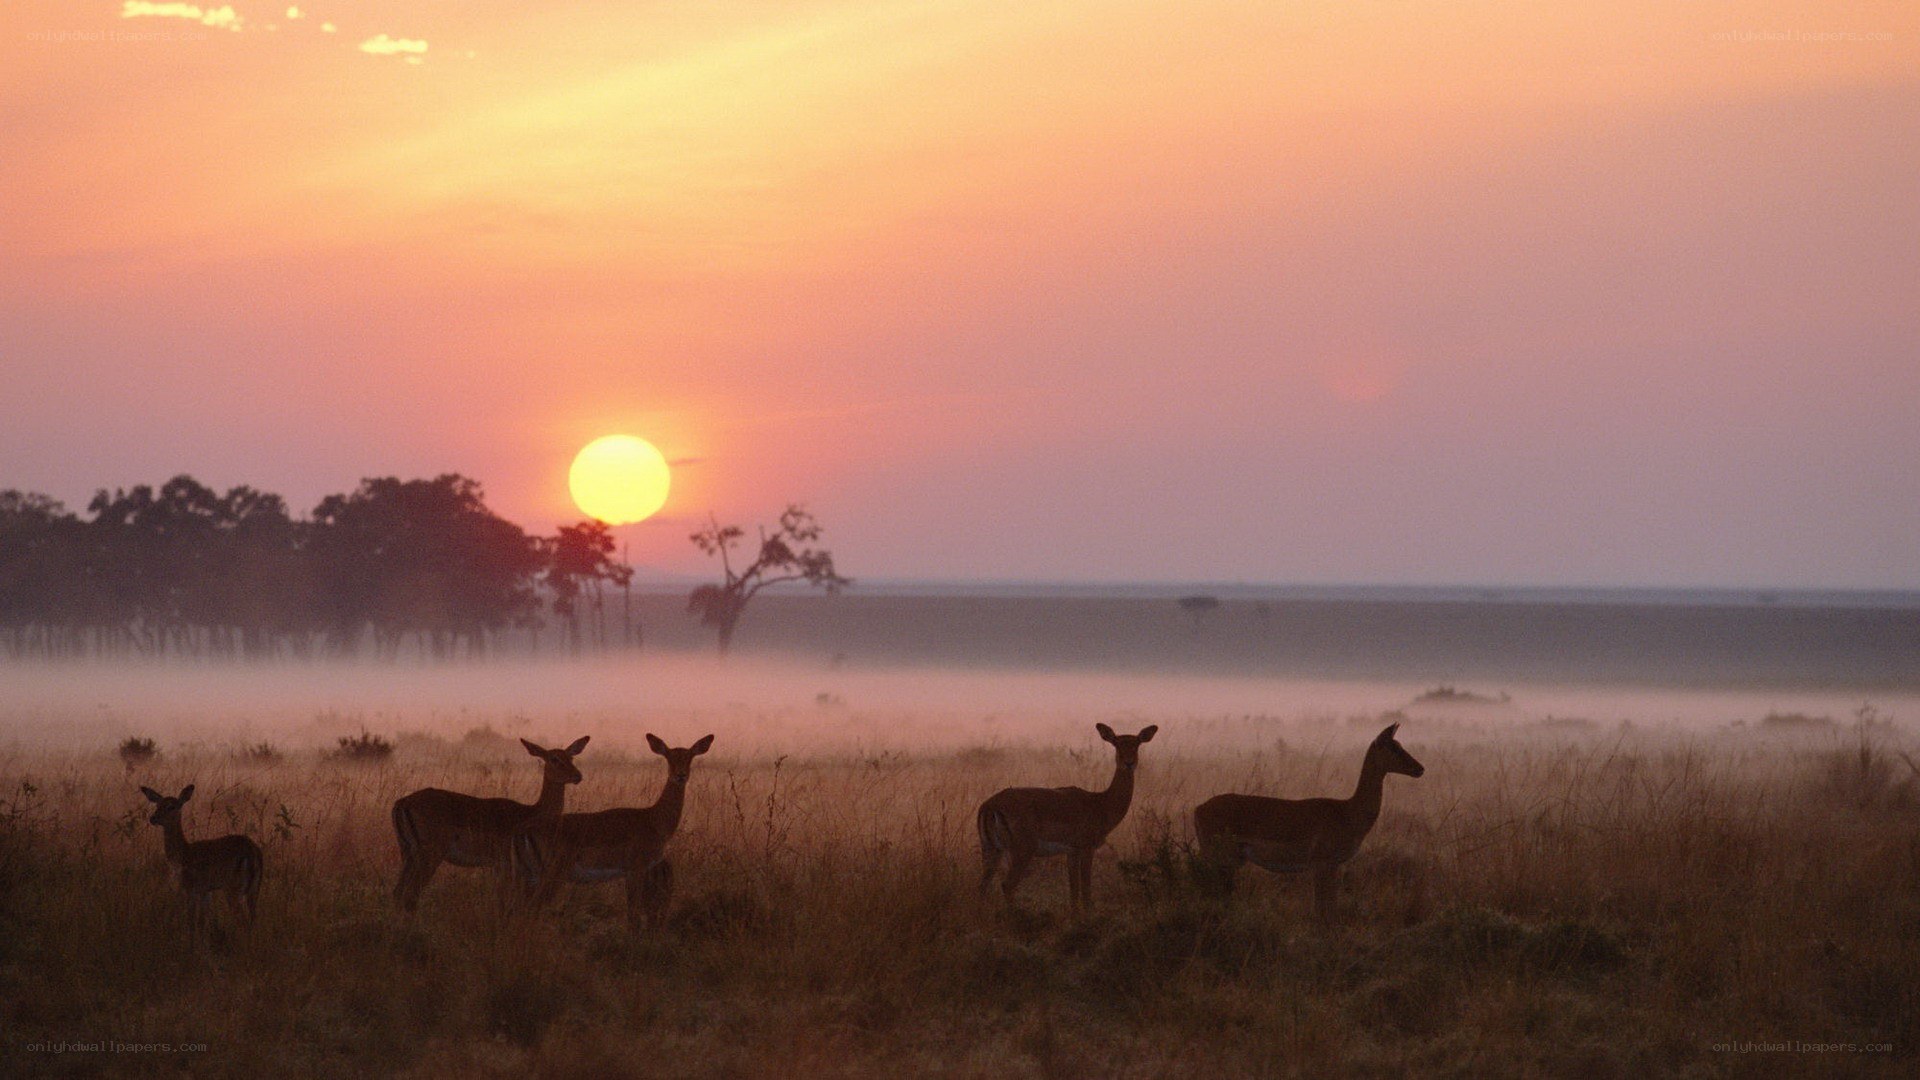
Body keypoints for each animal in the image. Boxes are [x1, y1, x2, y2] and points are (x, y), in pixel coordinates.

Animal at [139, 784, 263, 942]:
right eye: (157, 805)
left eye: (171, 806)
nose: (153, 818)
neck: (183, 853)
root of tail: (253, 852)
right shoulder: (206, 890)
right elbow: (201, 922)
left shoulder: (190, 888)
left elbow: (191, 921)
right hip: (254, 890)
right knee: (253, 920)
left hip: (233, 889)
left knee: (243, 922)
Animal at [390, 736, 589, 914]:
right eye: (554, 759)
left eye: (571, 757)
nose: (577, 776)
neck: (531, 812)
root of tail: (401, 803)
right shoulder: (506, 865)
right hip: (429, 855)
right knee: (410, 894)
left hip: (408, 853)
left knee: (398, 892)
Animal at [517, 734, 715, 930]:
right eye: (669, 757)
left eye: (690, 757)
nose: (680, 775)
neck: (653, 818)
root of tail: (527, 829)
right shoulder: (636, 869)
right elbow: (634, 916)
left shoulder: (630, 873)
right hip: (552, 875)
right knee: (531, 908)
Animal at [977, 723, 1158, 913]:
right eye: (1116, 743)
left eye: (1137, 744)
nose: (1129, 763)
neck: (1100, 803)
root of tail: (990, 806)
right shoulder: (1087, 848)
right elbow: (1085, 890)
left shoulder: (1071, 852)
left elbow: (1074, 891)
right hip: (1022, 851)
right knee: (1007, 885)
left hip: (991, 849)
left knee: (982, 886)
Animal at [1193, 722, 1424, 922]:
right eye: (1394, 747)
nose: (1419, 768)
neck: (1347, 812)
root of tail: (1198, 808)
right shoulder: (1322, 865)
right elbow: (1323, 911)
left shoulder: (1331, 866)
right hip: (1221, 859)